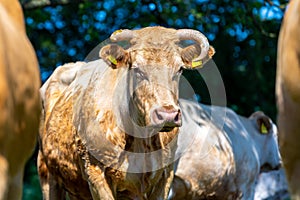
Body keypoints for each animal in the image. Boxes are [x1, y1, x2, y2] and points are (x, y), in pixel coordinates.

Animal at [38, 27, 216, 200]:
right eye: (136, 69)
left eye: (179, 69)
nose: (167, 115)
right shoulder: (95, 172)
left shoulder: (166, 176)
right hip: (47, 174)